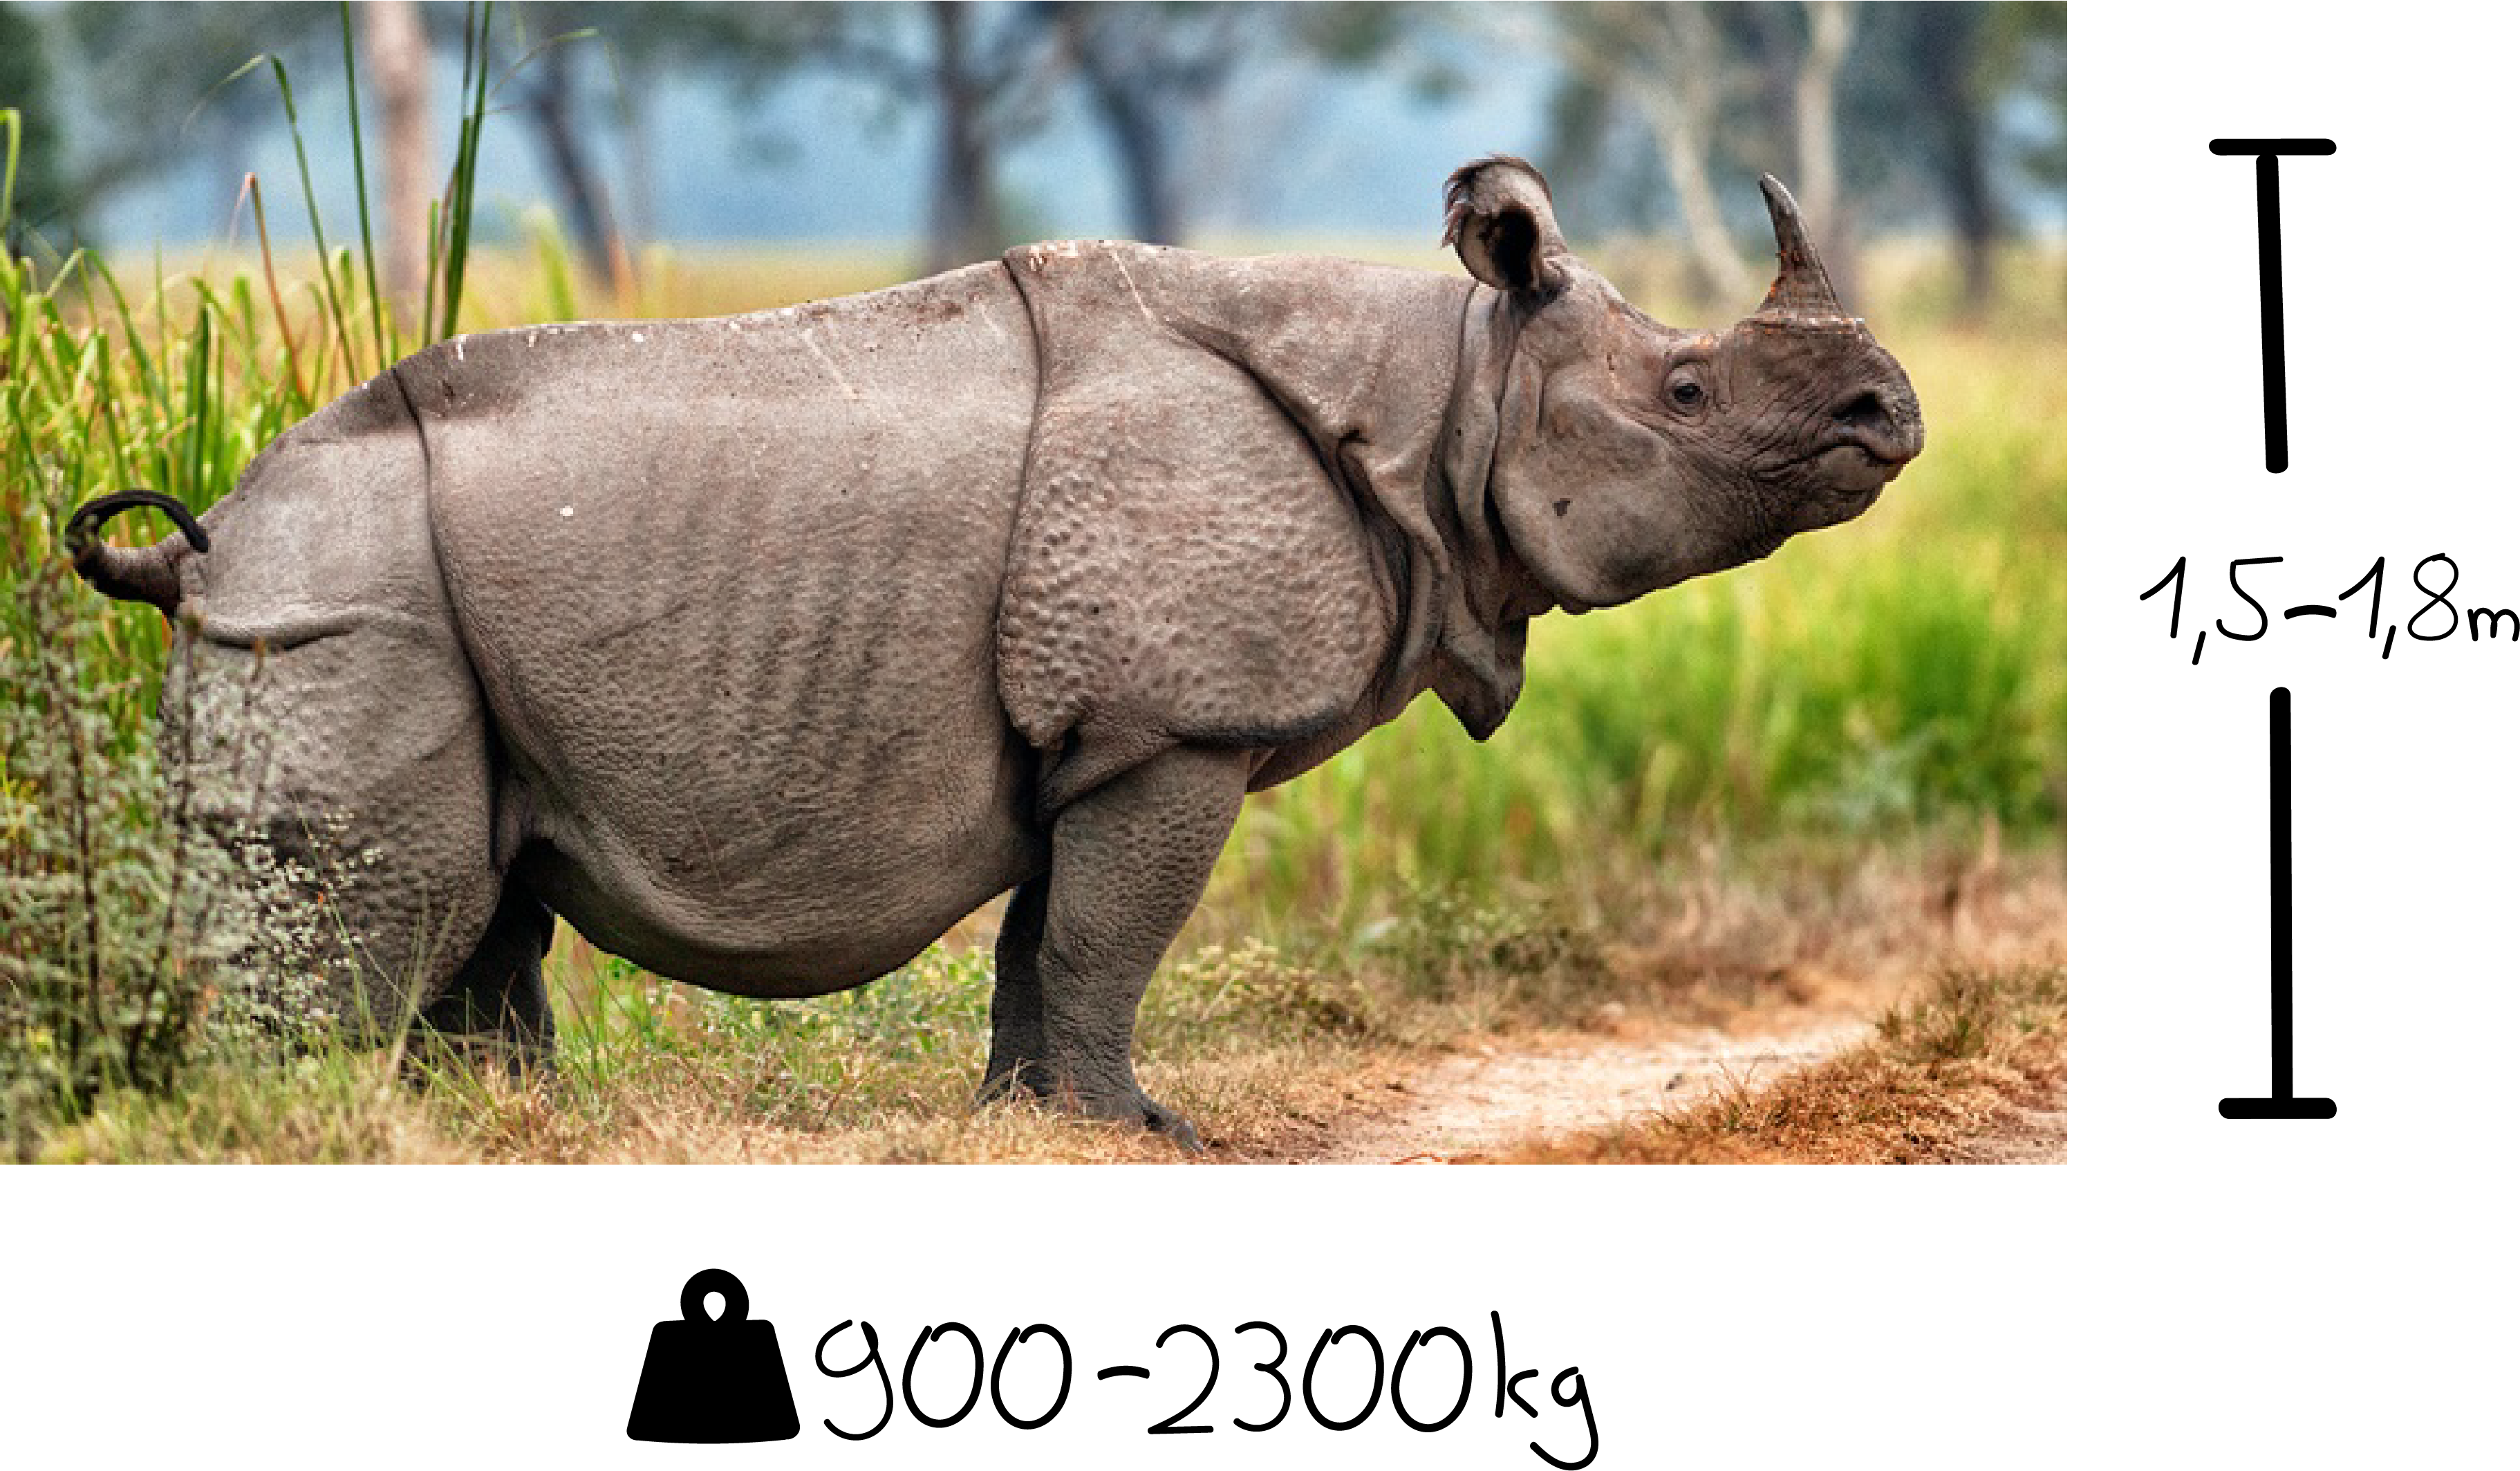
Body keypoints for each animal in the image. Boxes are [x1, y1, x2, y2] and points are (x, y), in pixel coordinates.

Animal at [67, 158, 1921, 1144]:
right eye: (1687, 388)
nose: (1885, 415)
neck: (1446, 393)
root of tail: (199, 542)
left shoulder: (1100, 730)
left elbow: (1050, 934)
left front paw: (1038, 1121)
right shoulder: (1172, 721)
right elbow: (1111, 931)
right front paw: (1149, 1134)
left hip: (377, 597)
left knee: (484, 904)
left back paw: (497, 1131)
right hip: (328, 593)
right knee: (381, 917)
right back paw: (286, 1126)